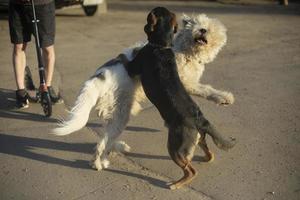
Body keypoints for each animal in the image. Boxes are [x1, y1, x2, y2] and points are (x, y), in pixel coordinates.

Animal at [52, 13, 234, 170]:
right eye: (197, 24)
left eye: (209, 28)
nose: (202, 30)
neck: (185, 50)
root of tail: (100, 76)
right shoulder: (186, 82)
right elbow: (206, 89)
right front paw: (224, 97)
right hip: (121, 112)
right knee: (104, 142)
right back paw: (99, 163)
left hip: (115, 112)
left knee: (106, 137)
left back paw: (111, 152)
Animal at [125, 7, 236, 190]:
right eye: (198, 25)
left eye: (209, 29)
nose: (203, 30)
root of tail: (200, 121)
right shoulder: (187, 81)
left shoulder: (189, 82)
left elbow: (206, 89)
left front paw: (224, 97)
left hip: (176, 147)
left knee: (190, 169)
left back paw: (176, 184)